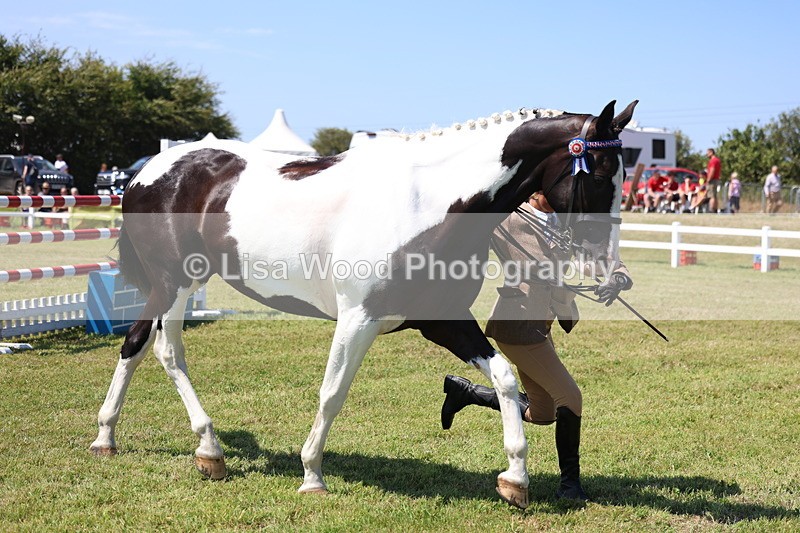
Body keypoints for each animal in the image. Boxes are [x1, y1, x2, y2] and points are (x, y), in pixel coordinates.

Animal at [90, 100, 637, 509]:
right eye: (601, 173)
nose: (606, 266)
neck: (429, 206)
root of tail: (147, 172)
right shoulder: (359, 319)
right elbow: (332, 393)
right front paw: (312, 475)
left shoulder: (444, 321)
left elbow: (504, 377)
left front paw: (515, 479)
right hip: (174, 283)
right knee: (167, 352)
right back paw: (209, 448)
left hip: (168, 287)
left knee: (134, 344)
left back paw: (107, 437)